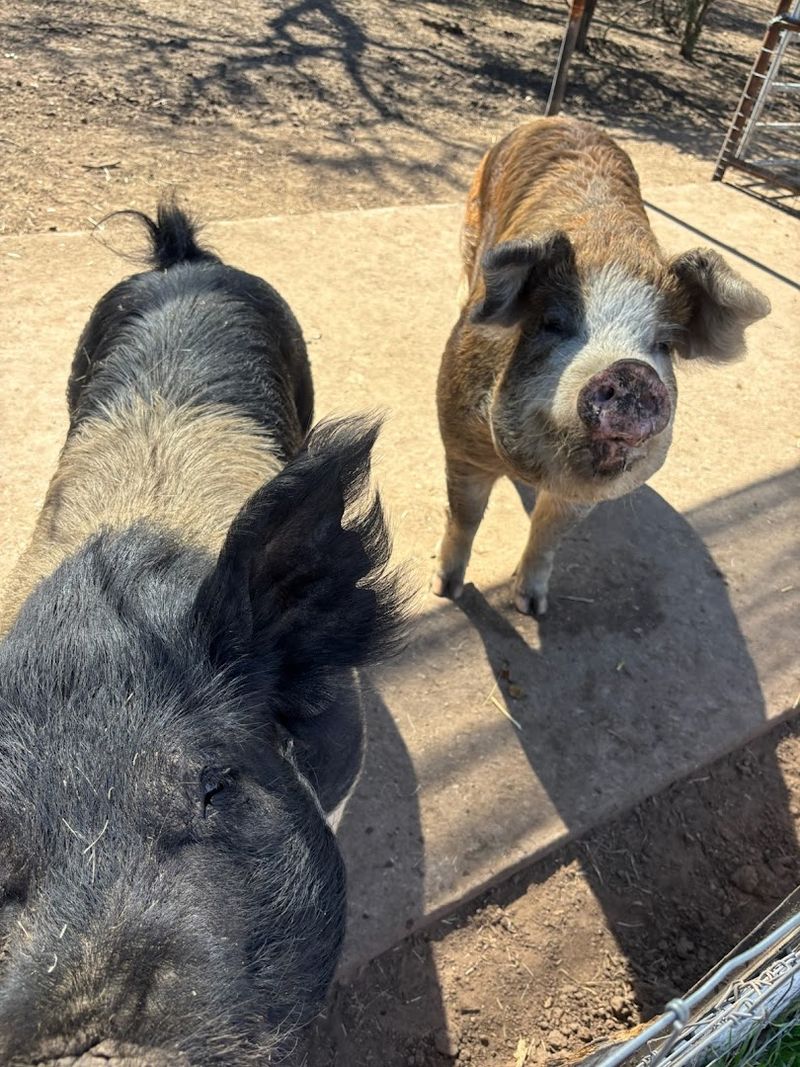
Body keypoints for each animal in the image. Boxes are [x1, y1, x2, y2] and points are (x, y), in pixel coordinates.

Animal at [432, 117, 770, 615]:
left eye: (663, 345)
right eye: (552, 322)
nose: (631, 371)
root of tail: (559, 118)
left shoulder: (584, 494)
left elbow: (548, 533)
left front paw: (531, 606)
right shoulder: (460, 442)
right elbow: (465, 517)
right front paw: (444, 590)